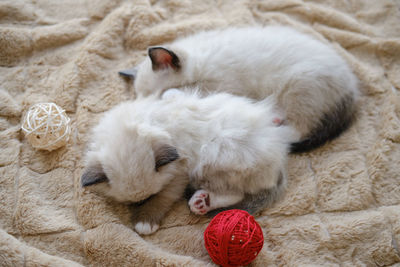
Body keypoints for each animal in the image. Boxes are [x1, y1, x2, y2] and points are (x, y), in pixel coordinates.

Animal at [81, 89, 298, 234]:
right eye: (132, 202)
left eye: (149, 198)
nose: (137, 206)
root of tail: (280, 160)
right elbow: (170, 94)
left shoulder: (179, 172)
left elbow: (164, 197)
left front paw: (145, 221)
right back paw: (202, 201)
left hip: (213, 160)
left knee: (236, 193)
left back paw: (201, 203)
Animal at [126, 27, 360, 154]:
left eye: (154, 97)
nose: (147, 110)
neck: (198, 59)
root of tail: (352, 90)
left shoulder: (223, 85)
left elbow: (192, 94)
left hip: (300, 85)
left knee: (297, 131)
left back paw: (271, 121)